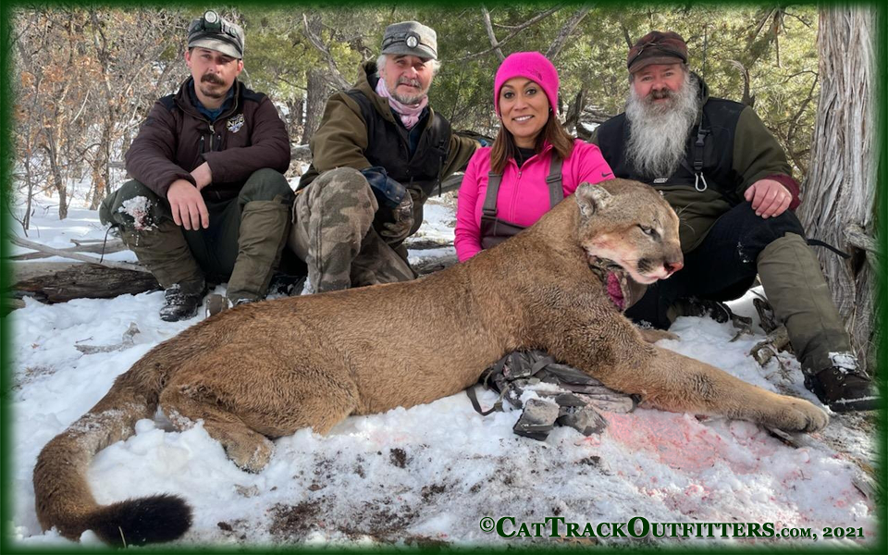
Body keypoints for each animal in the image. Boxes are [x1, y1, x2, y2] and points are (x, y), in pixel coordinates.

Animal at [33, 180, 824, 544]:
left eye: (673, 225)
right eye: (648, 227)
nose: (679, 261)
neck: (569, 244)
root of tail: (205, 328)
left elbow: (668, 353)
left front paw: (672, 337)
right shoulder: (608, 351)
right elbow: (709, 381)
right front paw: (799, 410)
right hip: (319, 389)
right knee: (182, 398)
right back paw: (248, 445)